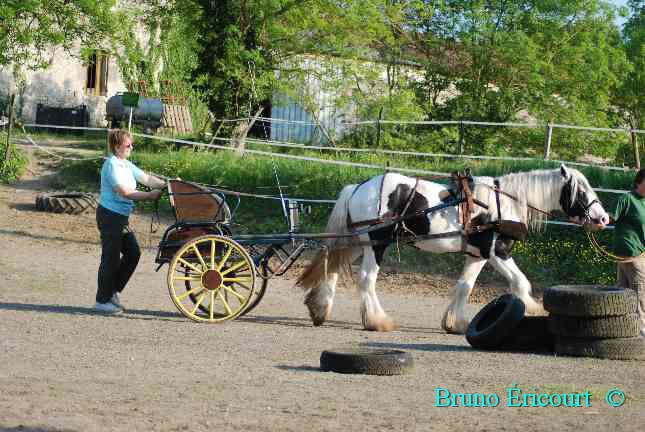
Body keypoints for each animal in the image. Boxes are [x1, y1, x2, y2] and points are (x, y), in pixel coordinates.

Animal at [296, 164, 608, 332]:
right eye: (581, 191)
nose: (604, 218)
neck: (504, 203)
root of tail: (359, 187)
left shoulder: (476, 255)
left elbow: (464, 287)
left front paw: (454, 323)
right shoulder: (496, 251)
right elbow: (521, 282)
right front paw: (531, 308)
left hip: (359, 240)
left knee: (333, 266)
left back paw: (321, 309)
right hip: (377, 242)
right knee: (365, 279)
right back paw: (377, 321)